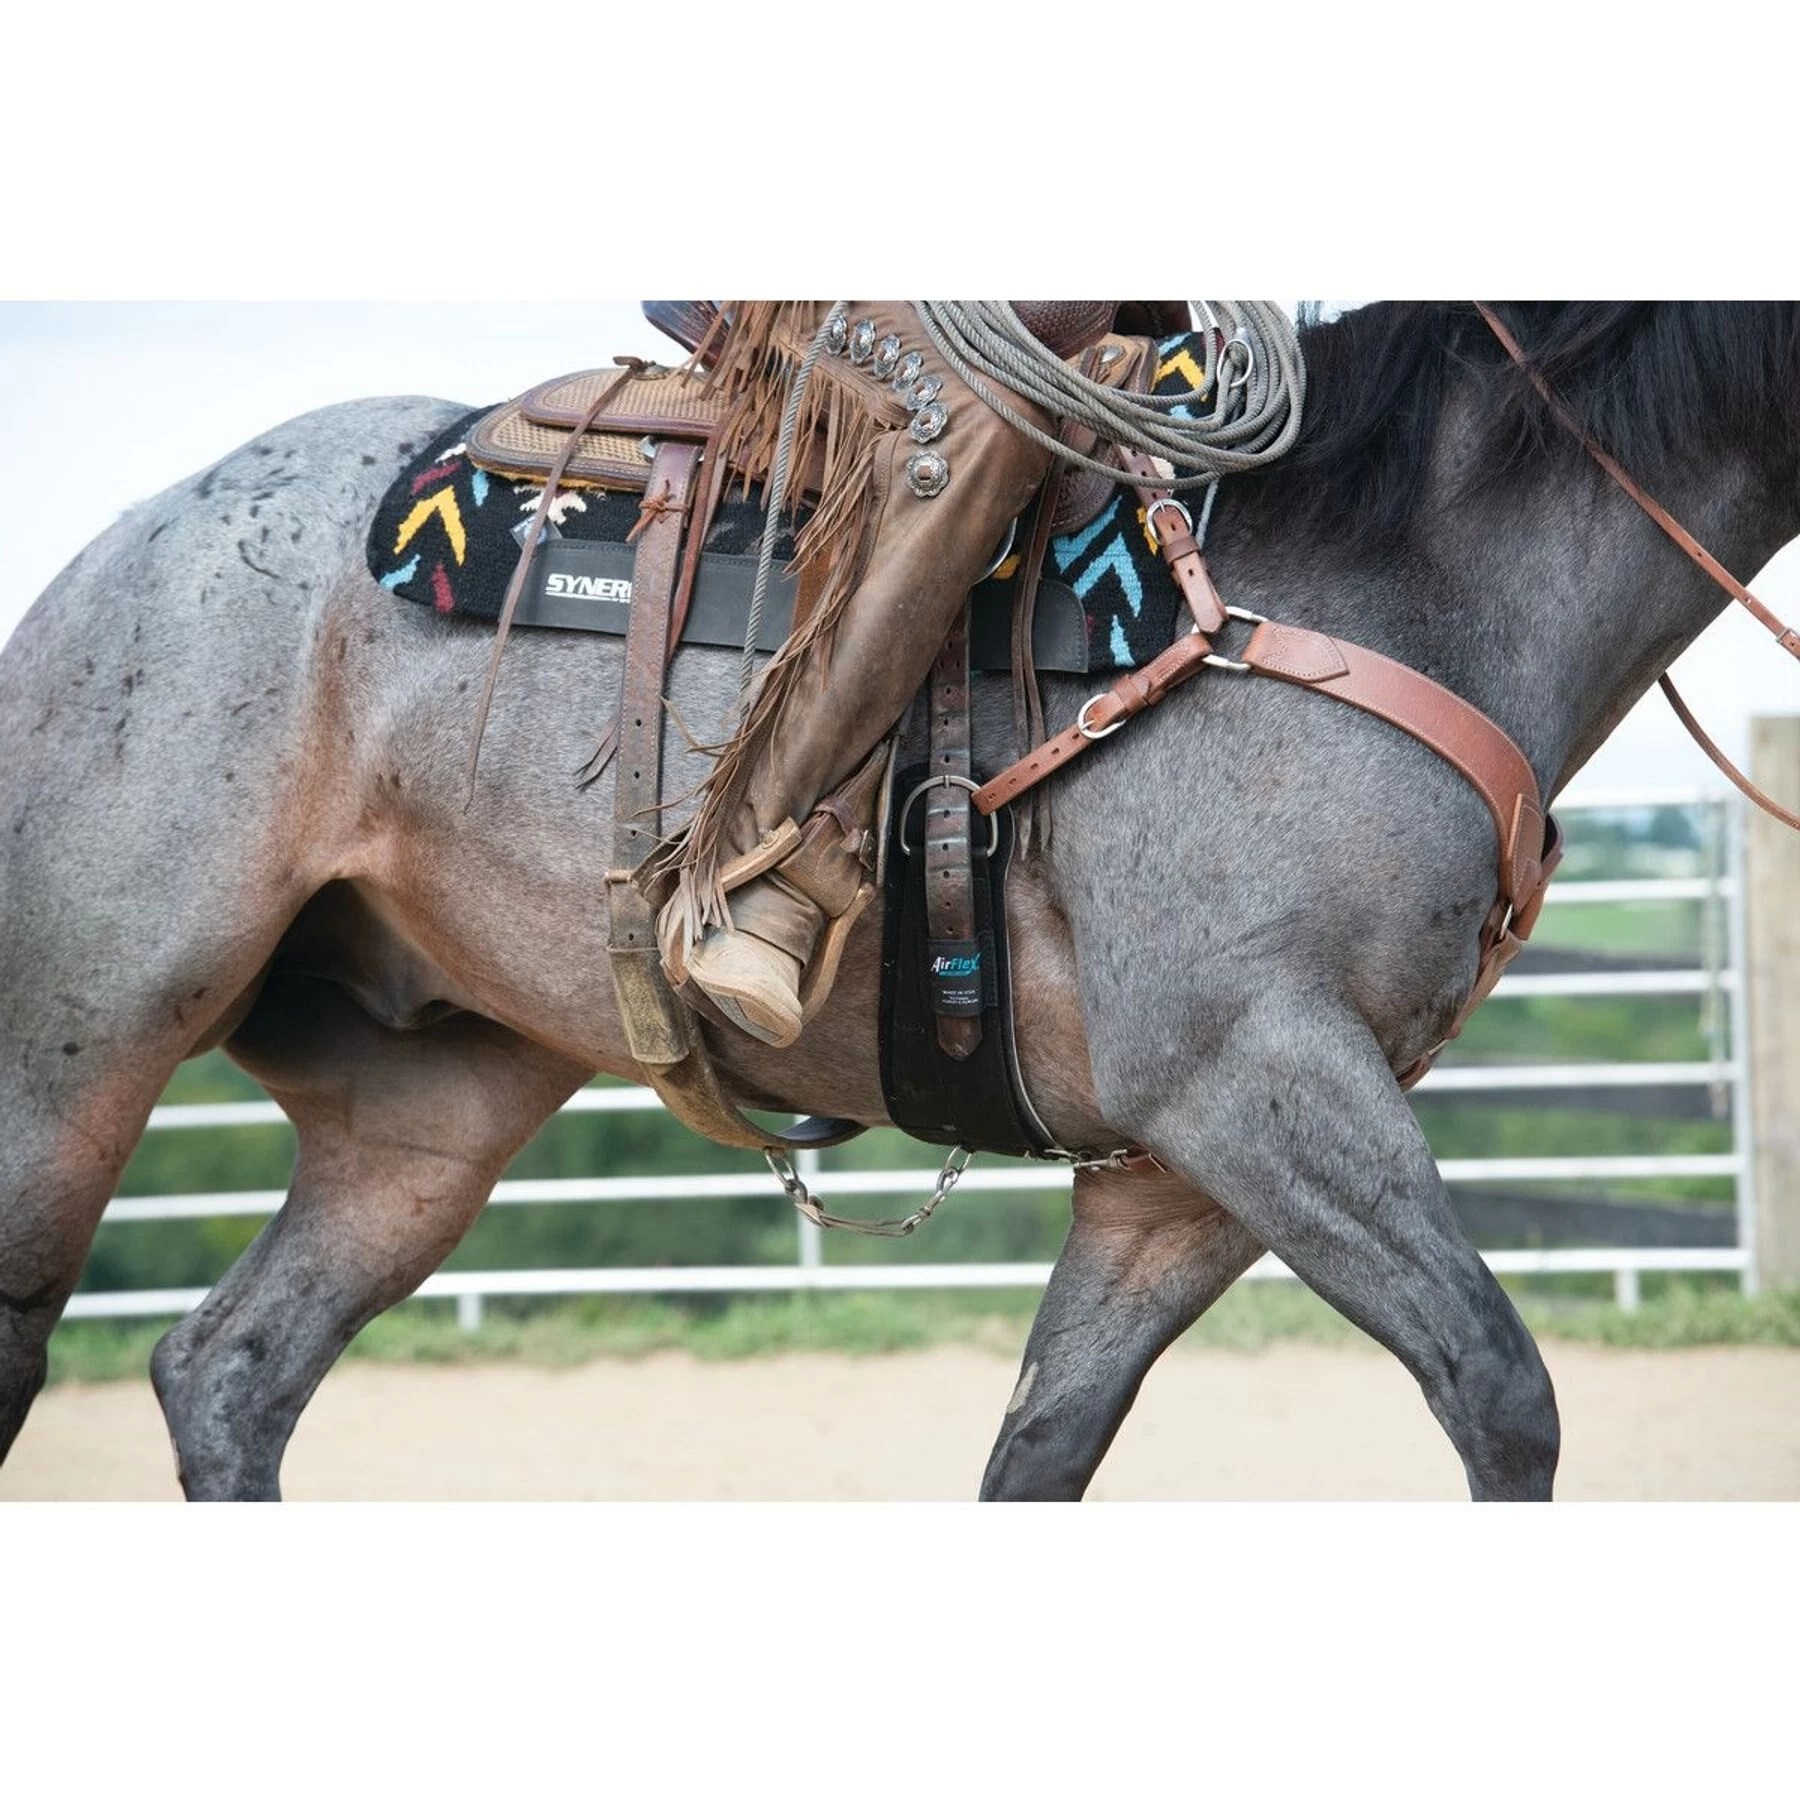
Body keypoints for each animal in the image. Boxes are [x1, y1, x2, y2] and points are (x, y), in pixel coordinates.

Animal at [2, 301, 1794, 1501]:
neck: (1396, 574)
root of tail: (132, 537)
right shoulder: (1252, 1073)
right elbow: (1499, 1391)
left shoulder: (1186, 1173)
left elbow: (1042, 1447)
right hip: (78, 1050)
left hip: (427, 1114)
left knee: (227, 1374)